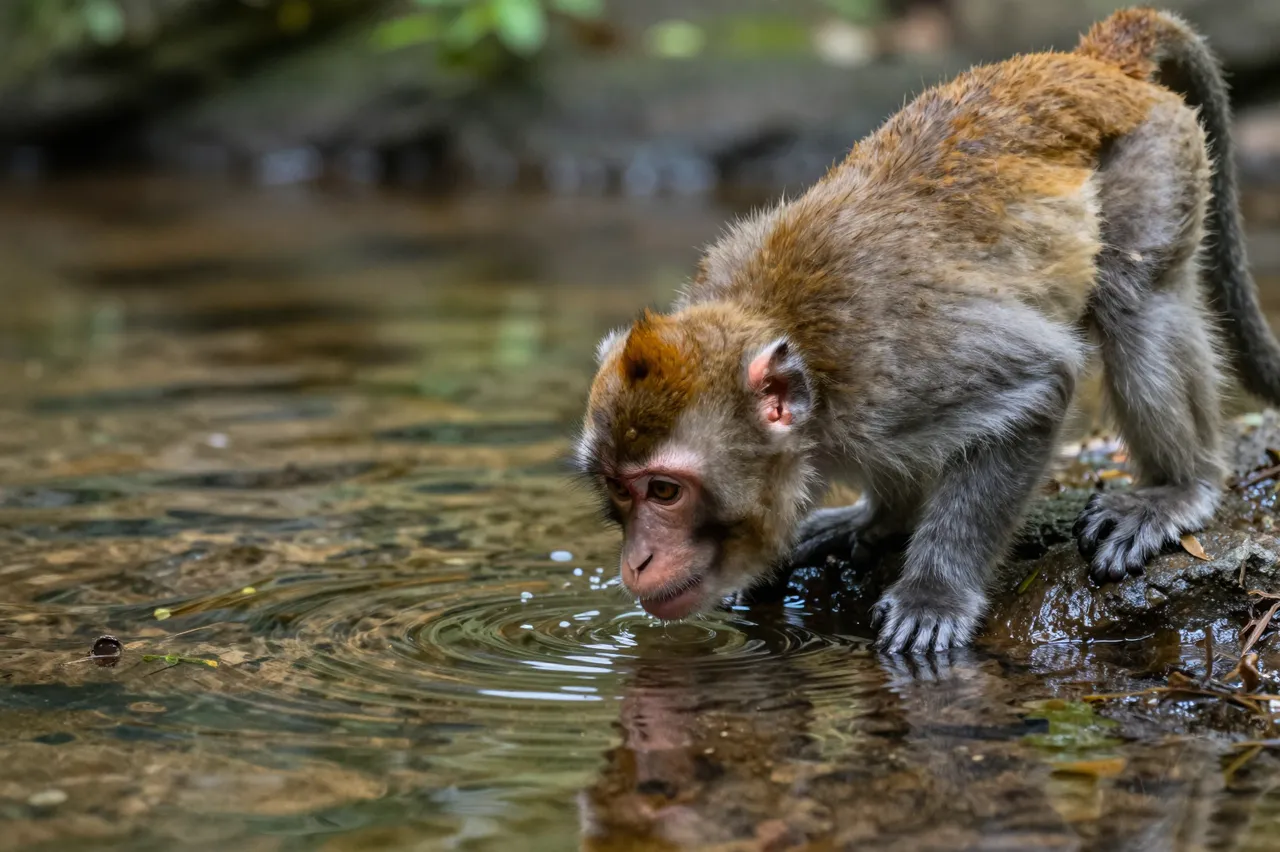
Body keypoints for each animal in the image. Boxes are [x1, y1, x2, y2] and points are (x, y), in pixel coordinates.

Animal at [571, 8, 1280, 653]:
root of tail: (1088, 65)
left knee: (1138, 298)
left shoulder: (896, 370)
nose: (635, 563)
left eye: (665, 492)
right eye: (619, 491)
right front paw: (883, 519)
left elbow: (1039, 384)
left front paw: (934, 594)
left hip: (1154, 157)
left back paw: (1178, 488)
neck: (802, 349)